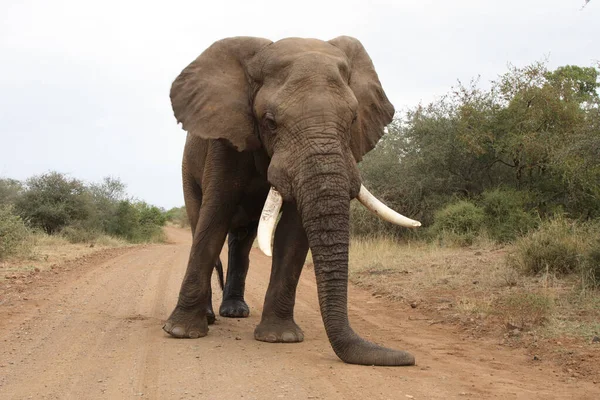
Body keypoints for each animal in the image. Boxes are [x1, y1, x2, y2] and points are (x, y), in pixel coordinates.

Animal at [162, 36, 420, 366]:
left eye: (352, 120)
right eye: (270, 122)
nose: (408, 358)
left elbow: (294, 233)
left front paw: (280, 338)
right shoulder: (225, 142)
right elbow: (214, 217)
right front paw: (181, 332)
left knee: (242, 242)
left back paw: (235, 312)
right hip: (187, 169)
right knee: (200, 224)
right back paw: (211, 316)